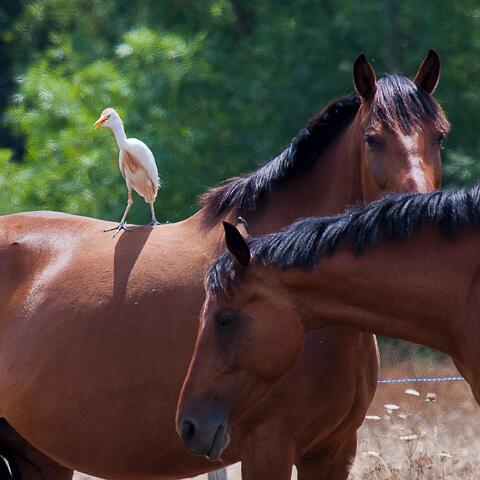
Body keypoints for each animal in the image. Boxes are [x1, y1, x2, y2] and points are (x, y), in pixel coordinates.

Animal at [0, 52, 447, 480]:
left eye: (440, 136)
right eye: (373, 140)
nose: (420, 214)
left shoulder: (333, 452)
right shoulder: (268, 447)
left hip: (39, 456)